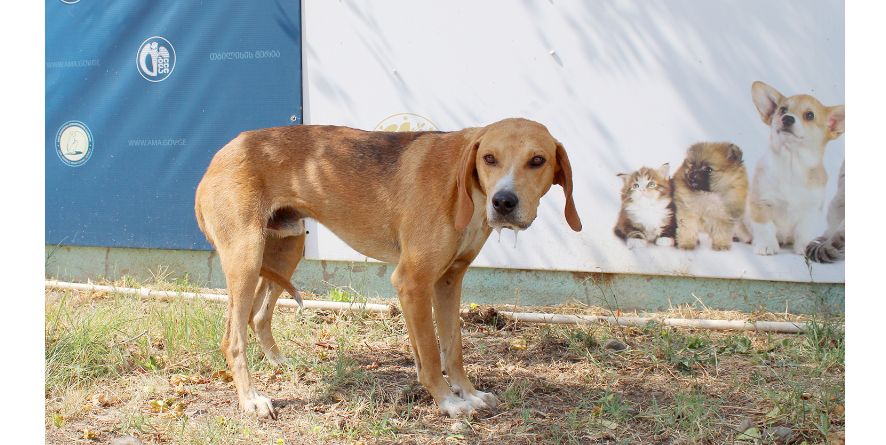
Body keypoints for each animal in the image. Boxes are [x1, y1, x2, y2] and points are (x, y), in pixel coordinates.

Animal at [194, 117, 584, 416]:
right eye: (489, 158)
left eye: (537, 160)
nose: (504, 202)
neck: (464, 186)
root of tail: (218, 155)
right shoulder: (412, 282)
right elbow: (431, 352)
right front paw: (448, 401)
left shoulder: (448, 280)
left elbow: (452, 347)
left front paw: (467, 392)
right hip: (246, 258)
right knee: (232, 338)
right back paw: (251, 400)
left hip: (284, 250)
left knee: (257, 315)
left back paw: (279, 362)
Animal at [748, 80, 848, 253]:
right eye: (782, 110)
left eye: (810, 115)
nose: (787, 118)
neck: (791, 165)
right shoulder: (761, 202)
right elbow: (766, 227)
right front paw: (767, 245)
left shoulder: (810, 210)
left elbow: (803, 231)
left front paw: (804, 248)